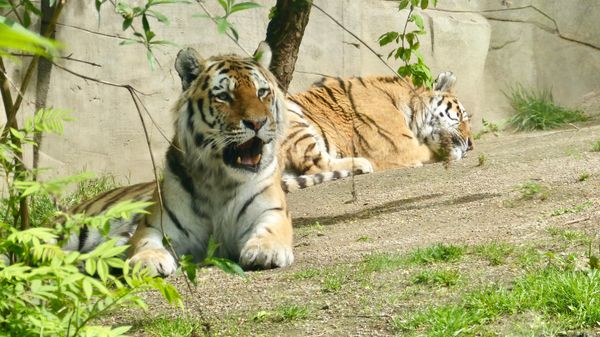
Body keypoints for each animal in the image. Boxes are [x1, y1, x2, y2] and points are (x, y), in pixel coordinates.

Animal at [63, 43, 300, 276]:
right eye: (224, 96)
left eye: (262, 92)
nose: (257, 122)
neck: (220, 180)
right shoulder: (155, 224)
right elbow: (146, 241)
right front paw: (148, 260)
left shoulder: (271, 211)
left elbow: (269, 230)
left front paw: (265, 250)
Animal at [282, 71, 474, 181]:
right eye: (461, 117)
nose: (471, 145)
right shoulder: (401, 147)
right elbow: (429, 152)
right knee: (317, 166)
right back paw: (361, 164)